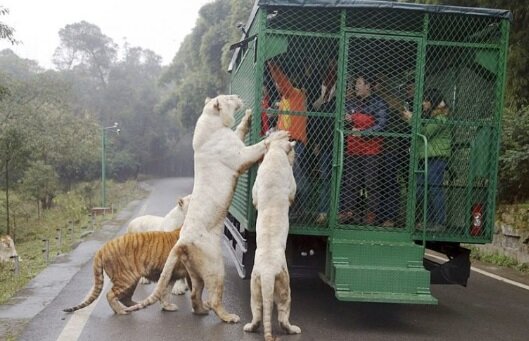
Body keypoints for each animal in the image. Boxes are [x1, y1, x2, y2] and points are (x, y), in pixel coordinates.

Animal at [126, 93, 290, 322]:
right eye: (228, 97)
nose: (237, 96)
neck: (214, 121)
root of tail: (182, 241)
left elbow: (239, 130)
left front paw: (247, 118)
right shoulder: (239, 155)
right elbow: (259, 146)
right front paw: (278, 136)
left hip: (195, 271)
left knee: (195, 294)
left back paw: (201, 310)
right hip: (215, 266)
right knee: (213, 298)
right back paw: (229, 317)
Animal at [244, 138, 302, 340]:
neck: (276, 153)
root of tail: (268, 272)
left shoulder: (256, 188)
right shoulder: (291, 185)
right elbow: (292, 194)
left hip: (254, 287)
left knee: (257, 312)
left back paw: (249, 327)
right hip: (285, 287)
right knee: (283, 315)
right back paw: (294, 329)